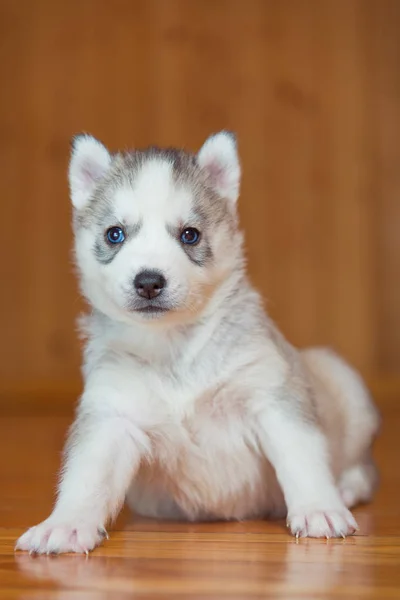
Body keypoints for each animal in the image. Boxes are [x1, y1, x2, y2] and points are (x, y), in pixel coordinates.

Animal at [14, 132, 378, 552]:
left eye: (190, 235)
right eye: (114, 234)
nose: (149, 281)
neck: (175, 351)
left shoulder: (272, 397)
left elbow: (301, 459)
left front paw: (320, 507)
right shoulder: (111, 417)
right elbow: (87, 477)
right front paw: (66, 524)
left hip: (343, 384)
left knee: (364, 469)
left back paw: (346, 487)